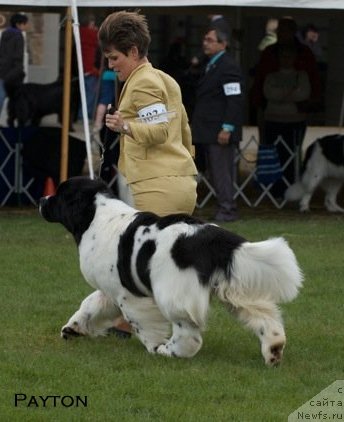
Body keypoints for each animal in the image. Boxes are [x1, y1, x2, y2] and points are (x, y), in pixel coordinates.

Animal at [39, 176, 304, 364]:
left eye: (60, 195)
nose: (42, 200)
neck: (96, 215)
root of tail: (210, 237)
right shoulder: (111, 288)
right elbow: (91, 304)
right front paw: (73, 328)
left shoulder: (129, 295)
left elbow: (141, 324)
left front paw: (154, 346)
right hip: (234, 289)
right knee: (263, 315)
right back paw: (273, 349)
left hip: (173, 293)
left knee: (189, 334)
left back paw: (169, 351)